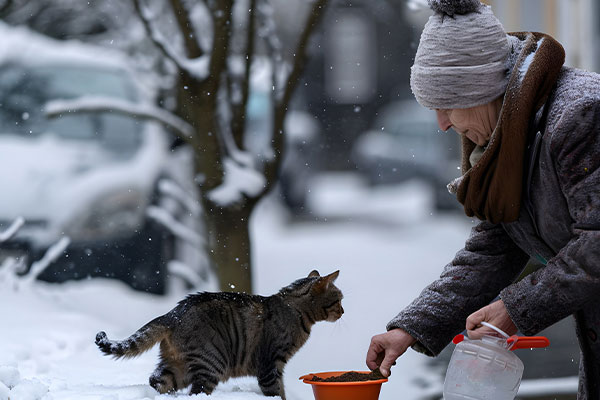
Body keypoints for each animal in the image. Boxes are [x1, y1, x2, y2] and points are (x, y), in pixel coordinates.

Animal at [96, 270, 344, 398]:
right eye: (339, 299)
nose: (343, 311)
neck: (294, 311)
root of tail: (173, 314)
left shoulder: (277, 367)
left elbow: (281, 390)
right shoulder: (270, 364)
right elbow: (275, 392)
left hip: (178, 365)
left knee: (158, 380)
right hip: (212, 363)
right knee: (196, 392)